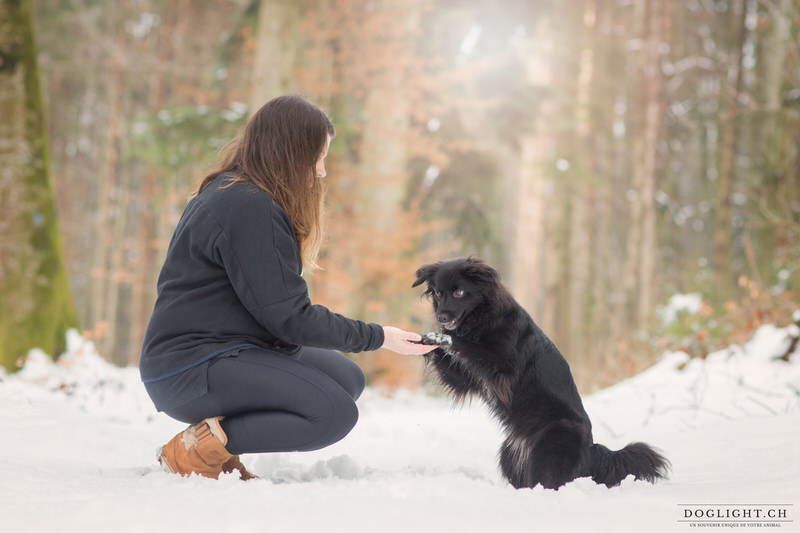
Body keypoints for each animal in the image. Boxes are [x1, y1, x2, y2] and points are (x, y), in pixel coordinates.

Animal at [412, 256, 668, 488]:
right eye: (438, 293)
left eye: (458, 292)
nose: (441, 317)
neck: (482, 318)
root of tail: (591, 451)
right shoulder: (469, 380)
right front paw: (421, 341)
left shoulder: (502, 367)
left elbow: (466, 345)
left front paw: (439, 337)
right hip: (511, 451)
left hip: (550, 445)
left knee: (550, 480)